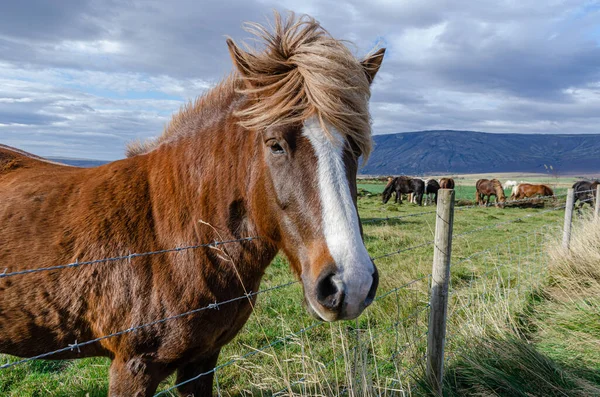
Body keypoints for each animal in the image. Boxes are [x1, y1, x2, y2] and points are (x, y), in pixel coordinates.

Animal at [0, 12, 384, 396]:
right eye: (275, 144)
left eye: (355, 147)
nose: (351, 284)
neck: (173, 240)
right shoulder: (131, 368)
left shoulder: (202, 359)